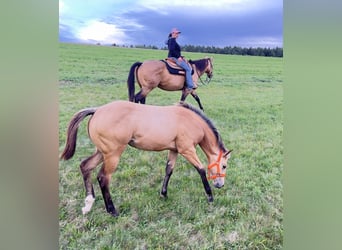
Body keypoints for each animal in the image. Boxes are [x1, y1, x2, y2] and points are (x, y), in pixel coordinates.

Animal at [60, 100, 231, 216]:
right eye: (224, 166)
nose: (220, 185)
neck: (191, 120)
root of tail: (97, 110)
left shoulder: (174, 150)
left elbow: (169, 170)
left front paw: (163, 194)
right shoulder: (187, 150)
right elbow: (201, 169)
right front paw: (210, 197)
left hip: (102, 152)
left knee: (85, 166)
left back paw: (88, 204)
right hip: (113, 154)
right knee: (103, 177)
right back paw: (112, 210)